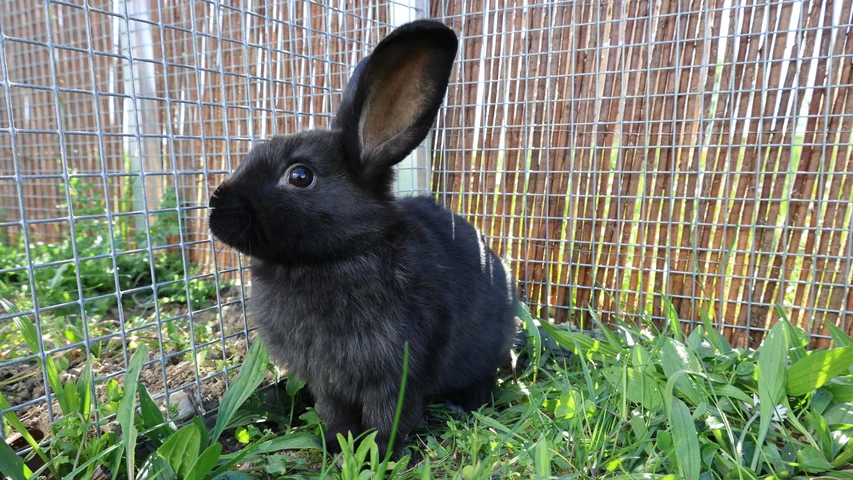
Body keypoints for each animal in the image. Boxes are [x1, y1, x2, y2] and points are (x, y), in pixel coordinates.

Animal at [207, 19, 517, 461]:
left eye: (300, 176)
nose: (216, 207)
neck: (334, 257)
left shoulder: (397, 373)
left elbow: (389, 417)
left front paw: (379, 455)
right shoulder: (328, 383)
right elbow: (335, 414)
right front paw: (338, 447)